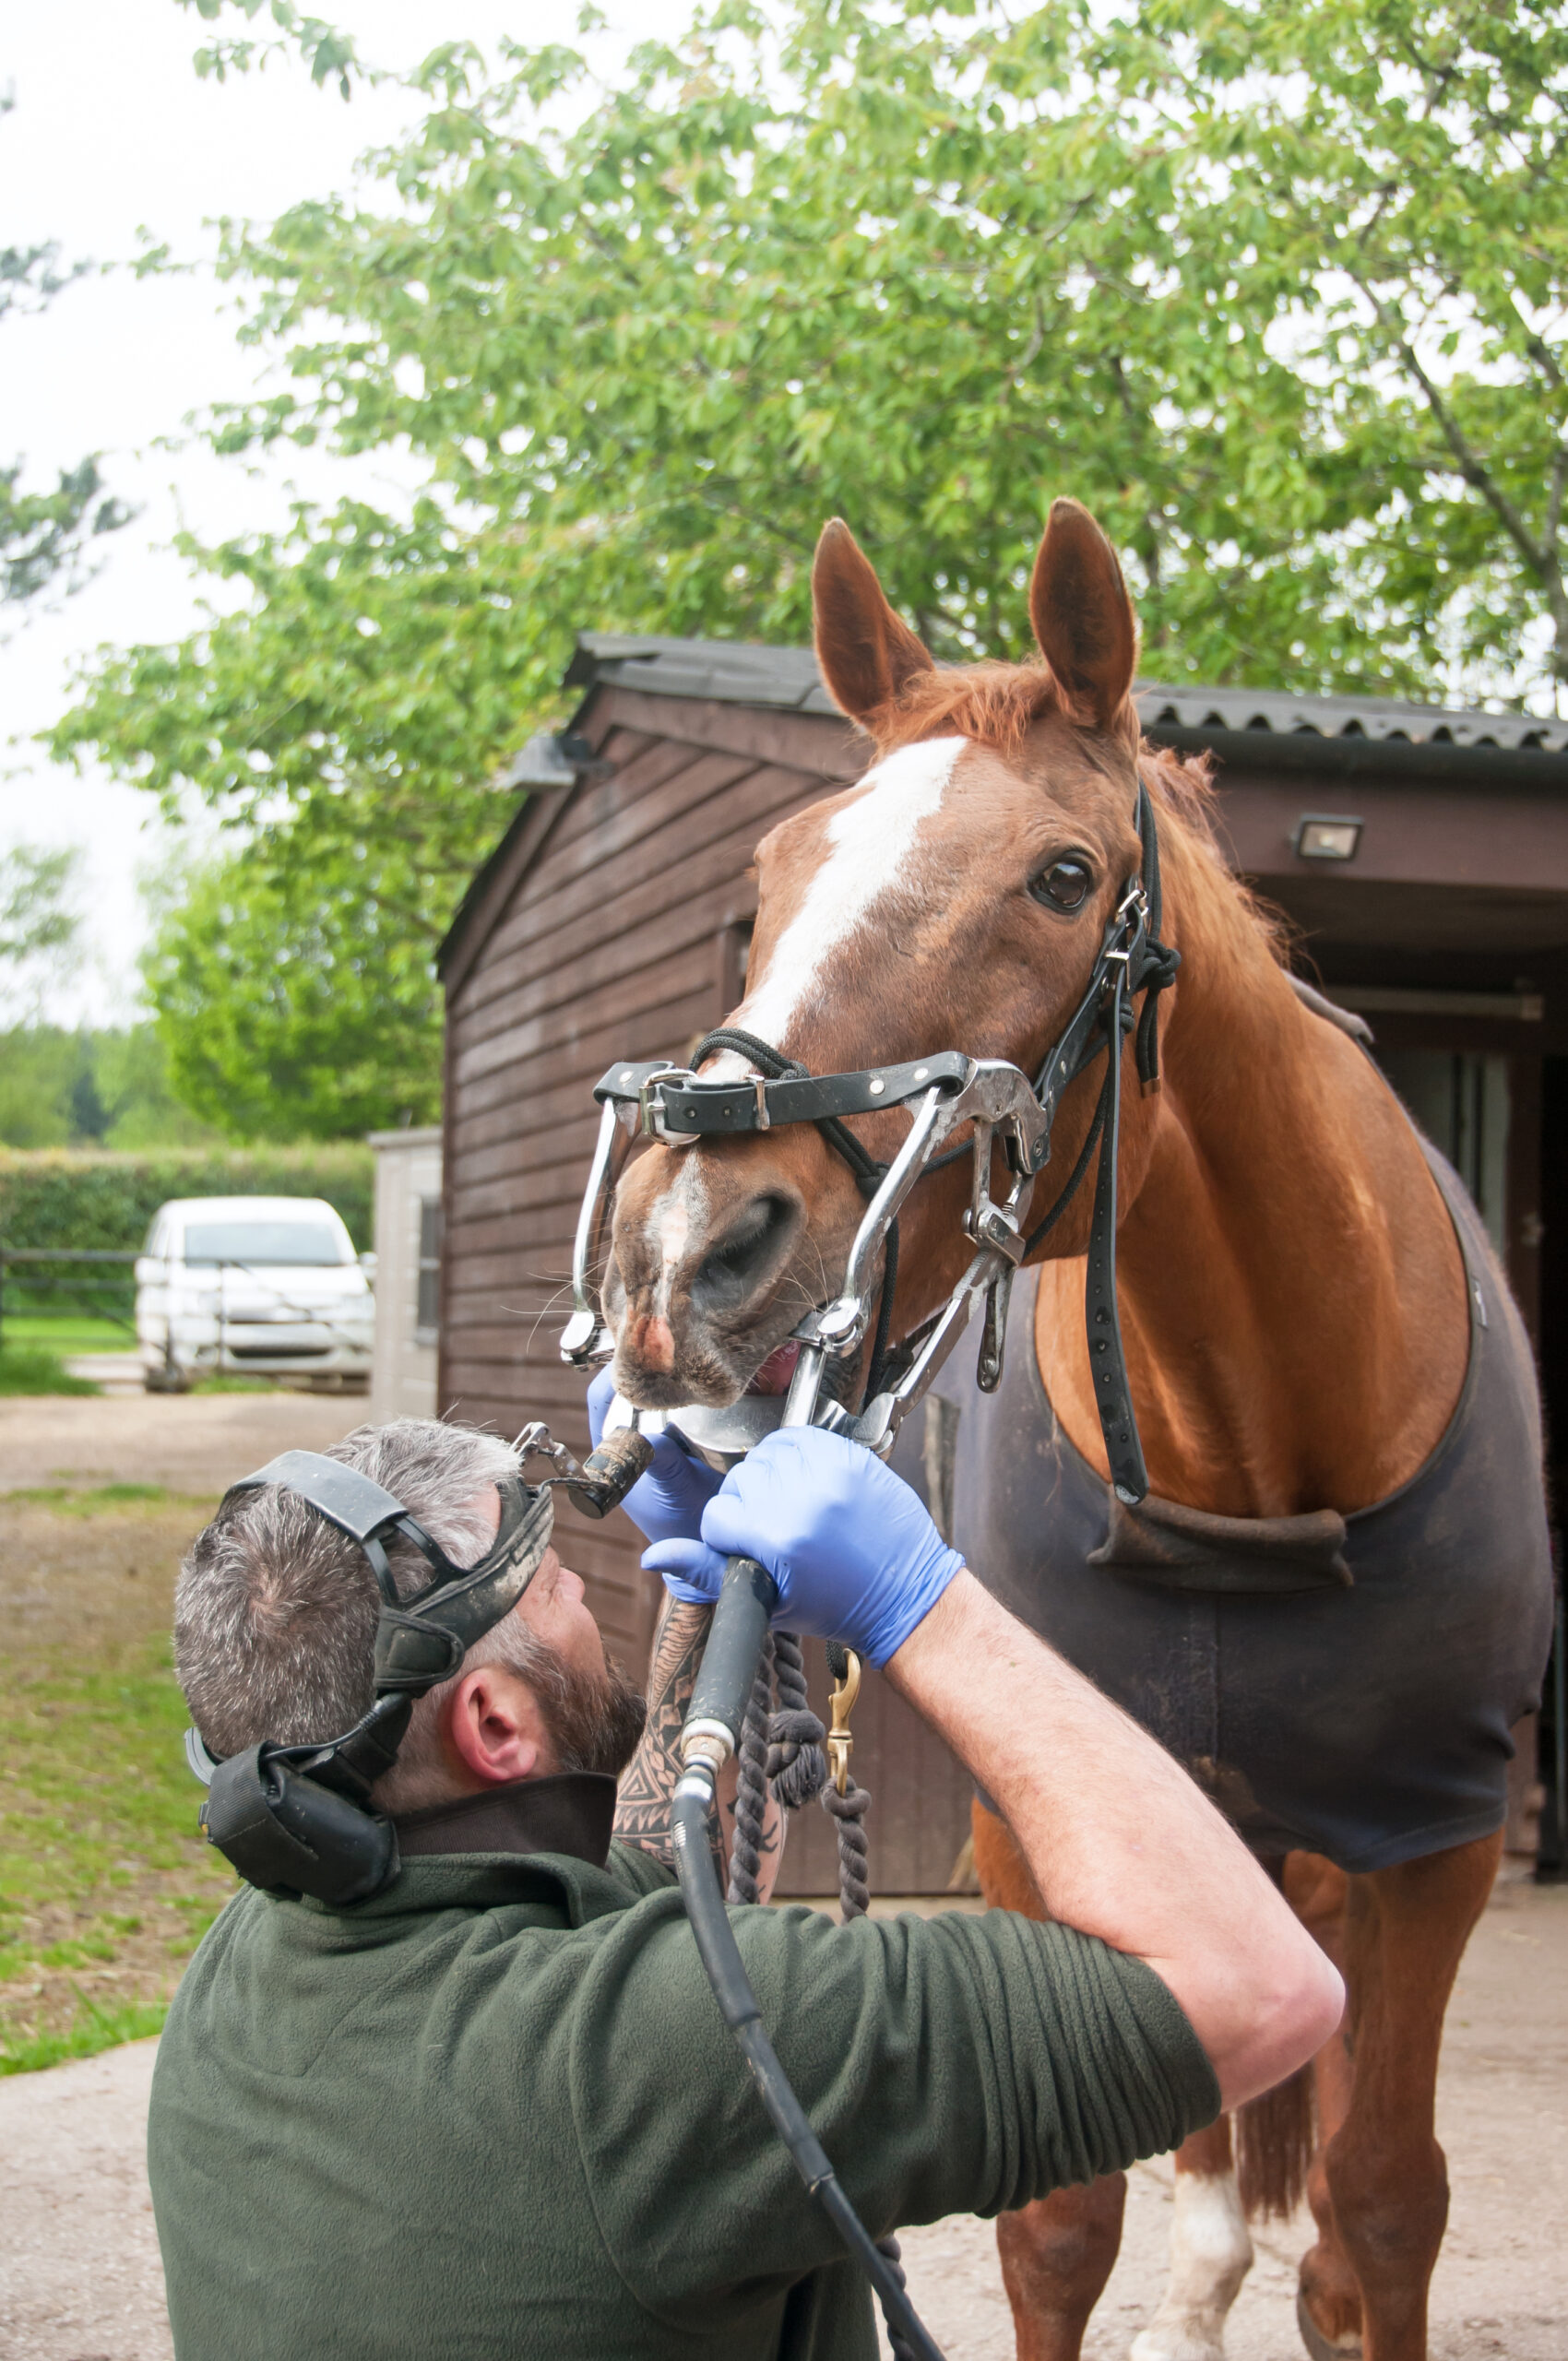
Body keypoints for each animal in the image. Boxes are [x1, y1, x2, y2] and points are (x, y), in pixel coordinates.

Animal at [598, 495, 1553, 2361]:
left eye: (1059, 877)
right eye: (766, 881)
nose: (685, 1251)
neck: (1254, 1455)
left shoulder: (1438, 1847)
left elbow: (1379, 2218)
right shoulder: (1040, 1829)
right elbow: (1060, 2224)